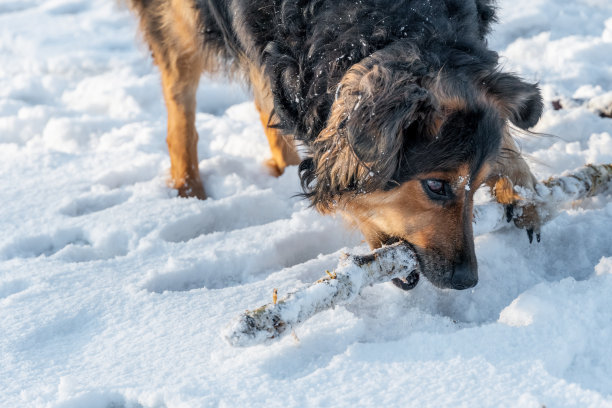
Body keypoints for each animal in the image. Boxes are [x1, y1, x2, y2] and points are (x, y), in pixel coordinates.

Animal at [126, 0, 544, 290]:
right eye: (436, 186)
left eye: (477, 185)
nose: (467, 280)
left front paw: (523, 192)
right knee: (179, 96)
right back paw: (188, 188)